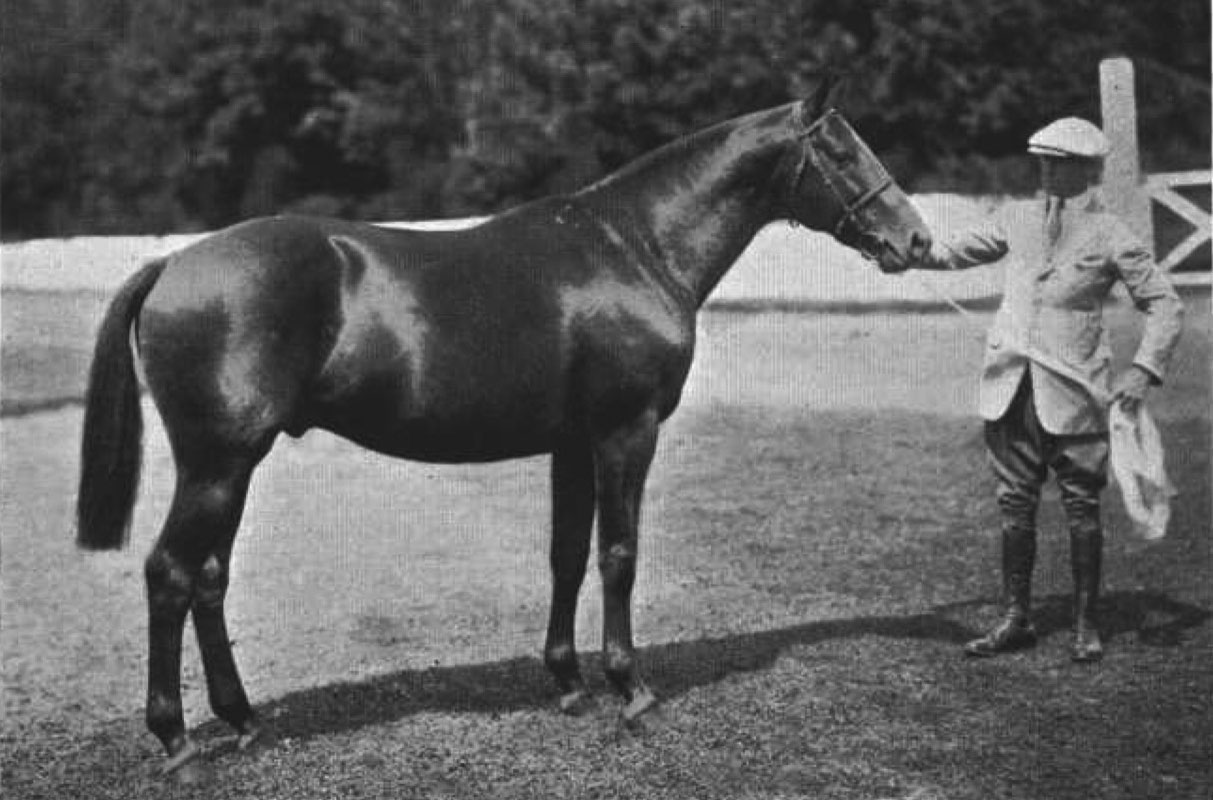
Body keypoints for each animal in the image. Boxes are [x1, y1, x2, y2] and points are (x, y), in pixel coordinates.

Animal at [76, 77, 932, 778]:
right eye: (842, 153)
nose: (916, 240)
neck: (634, 246)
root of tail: (173, 265)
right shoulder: (625, 432)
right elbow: (618, 554)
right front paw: (631, 690)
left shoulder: (572, 444)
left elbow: (566, 555)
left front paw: (568, 683)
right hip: (217, 464)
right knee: (170, 574)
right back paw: (179, 742)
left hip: (231, 465)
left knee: (209, 578)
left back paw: (244, 720)